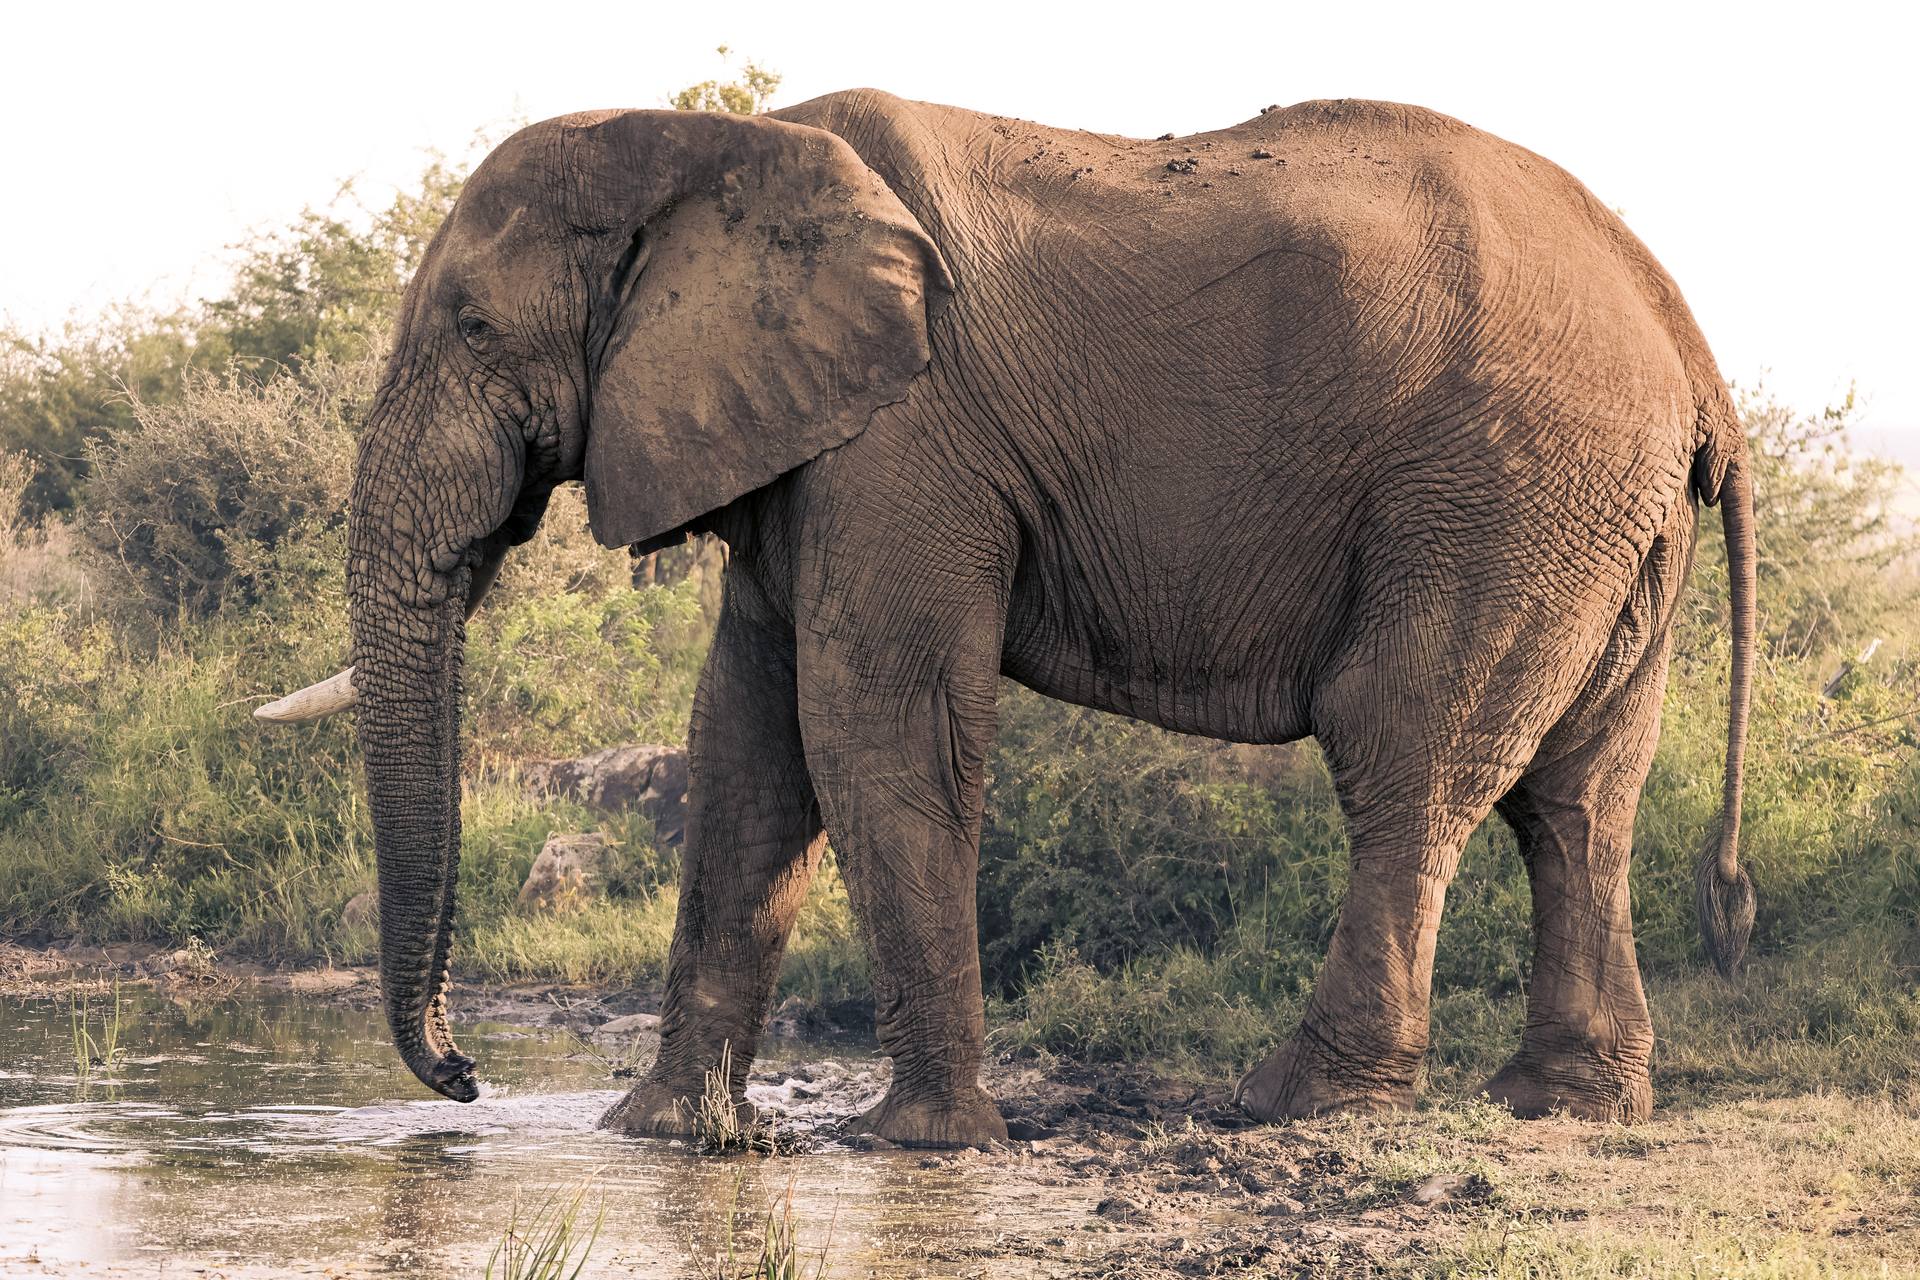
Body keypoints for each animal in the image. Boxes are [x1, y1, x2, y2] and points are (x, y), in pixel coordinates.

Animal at [259, 89, 1757, 1147]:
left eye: (468, 325)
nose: (464, 1078)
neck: (713, 146)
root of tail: (1689, 349)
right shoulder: (809, 438)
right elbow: (746, 743)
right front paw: (660, 1136)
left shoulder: (906, 434)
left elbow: (871, 723)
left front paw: (921, 1144)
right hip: (1597, 521)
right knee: (1579, 797)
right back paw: (1562, 1102)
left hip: (1497, 489)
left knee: (1407, 756)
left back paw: (1293, 1101)